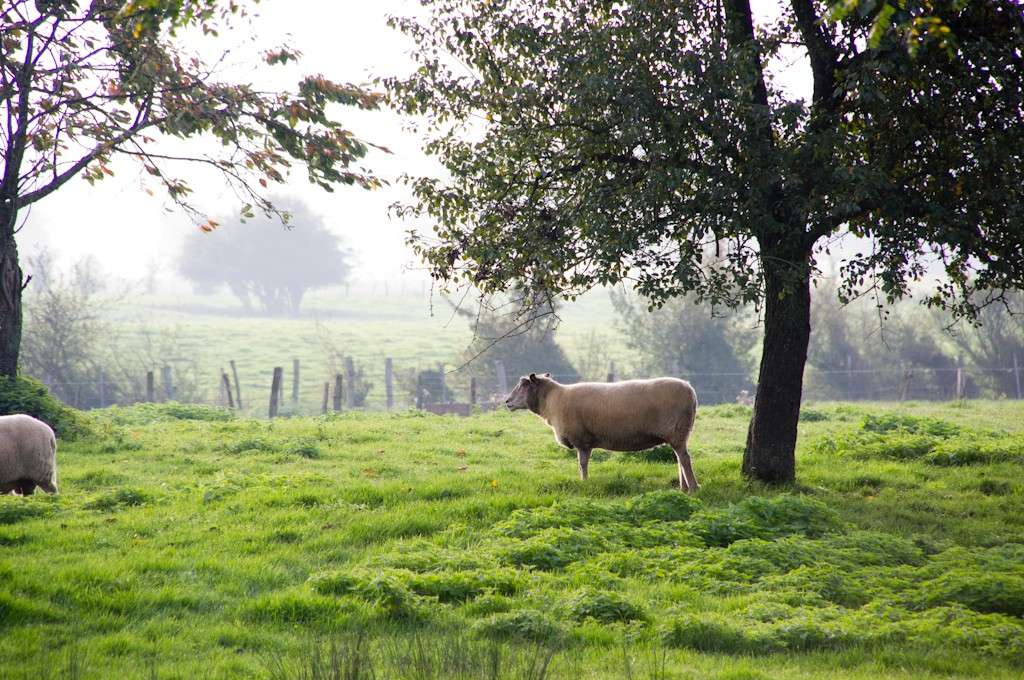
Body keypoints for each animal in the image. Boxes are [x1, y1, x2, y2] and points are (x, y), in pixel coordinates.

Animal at [505, 374, 700, 491]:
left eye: (523, 385)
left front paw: (584, 482)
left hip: (677, 431)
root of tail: (690, 390)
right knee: (680, 459)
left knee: (685, 459)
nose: (507, 402)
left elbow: (582, 464)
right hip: (678, 434)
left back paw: (693, 488)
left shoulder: (582, 440)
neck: (552, 400)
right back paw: (683, 488)